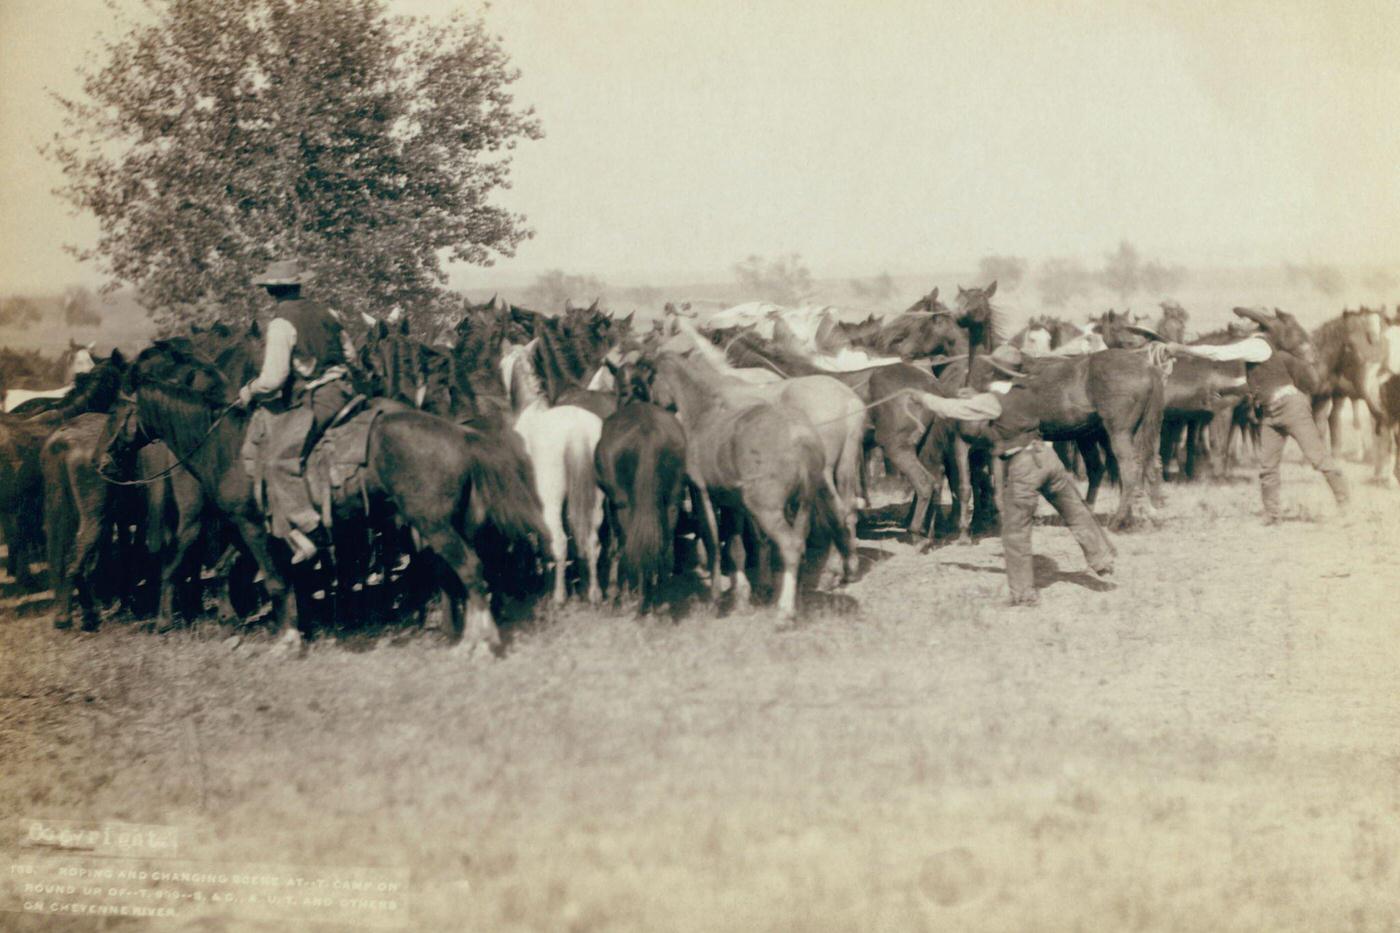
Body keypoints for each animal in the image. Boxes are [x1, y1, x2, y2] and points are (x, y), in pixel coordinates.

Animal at [501, 337, 604, 607]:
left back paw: (559, 597)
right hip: (595, 500)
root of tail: (577, 430)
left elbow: (544, 543)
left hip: (551, 501)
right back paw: (593, 593)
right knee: (592, 541)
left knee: (559, 541)